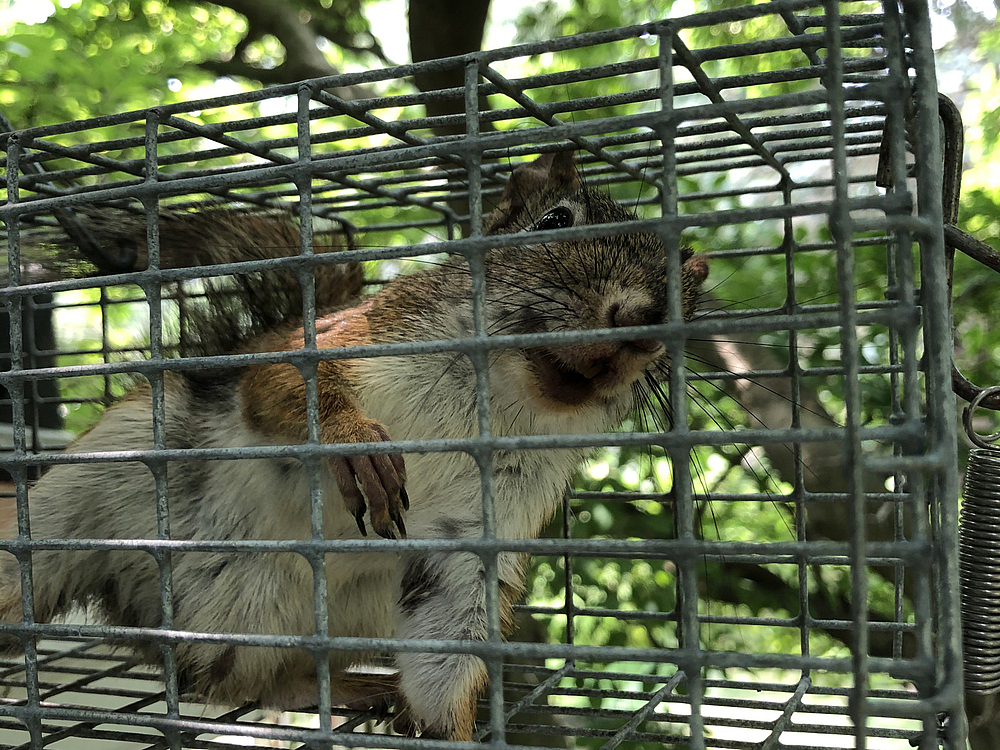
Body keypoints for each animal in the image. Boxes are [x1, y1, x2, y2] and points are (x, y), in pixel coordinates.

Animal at [0, 151, 708, 740]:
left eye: (688, 300)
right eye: (554, 220)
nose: (641, 321)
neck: (499, 399)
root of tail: (171, 628)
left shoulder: (478, 528)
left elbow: (450, 632)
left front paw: (447, 728)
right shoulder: (342, 341)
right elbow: (288, 388)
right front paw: (355, 443)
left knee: (251, 682)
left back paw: (353, 687)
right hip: (96, 480)